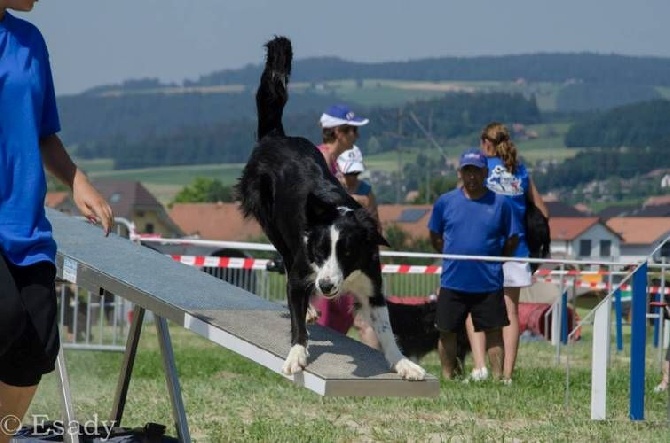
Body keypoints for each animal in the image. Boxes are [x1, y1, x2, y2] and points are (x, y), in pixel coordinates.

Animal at [236, 36, 426, 382]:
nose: (325, 286)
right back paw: (310, 308)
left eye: (348, 252)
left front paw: (403, 363)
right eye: (320, 251)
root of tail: (276, 137)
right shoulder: (303, 270)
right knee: (285, 259)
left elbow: (386, 328)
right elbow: (297, 318)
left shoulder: (372, 281)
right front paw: (296, 354)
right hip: (271, 222)